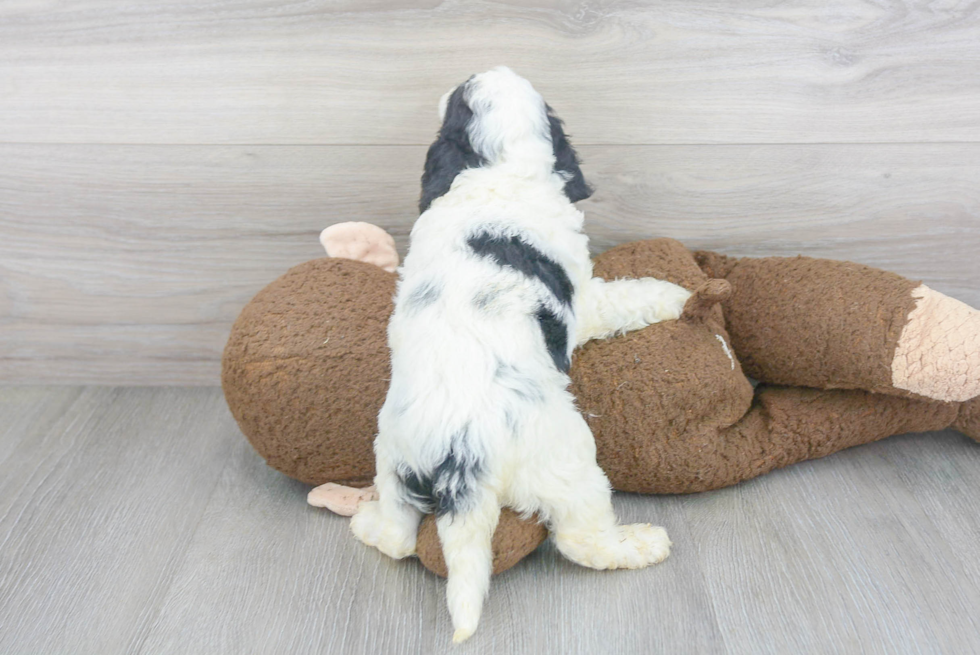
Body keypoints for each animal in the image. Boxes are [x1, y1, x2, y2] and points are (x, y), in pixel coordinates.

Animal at [350, 68, 688, 644]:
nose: (478, 71)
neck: (499, 170)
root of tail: (461, 453)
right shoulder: (586, 298)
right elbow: (627, 297)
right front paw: (676, 295)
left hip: (395, 460)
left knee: (399, 535)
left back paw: (366, 523)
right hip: (568, 463)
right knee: (582, 538)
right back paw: (638, 544)